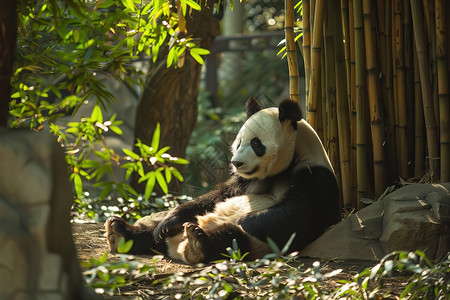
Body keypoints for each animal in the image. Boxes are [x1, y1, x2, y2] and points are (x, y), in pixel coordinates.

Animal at [105, 98, 340, 262]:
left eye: (256, 143)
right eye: (239, 142)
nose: (236, 163)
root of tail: (174, 246)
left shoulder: (315, 176)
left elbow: (298, 214)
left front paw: (245, 219)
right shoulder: (245, 181)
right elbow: (217, 196)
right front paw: (172, 220)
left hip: (254, 244)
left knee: (230, 239)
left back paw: (197, 242)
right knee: (154, 228)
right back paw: (122, 232)